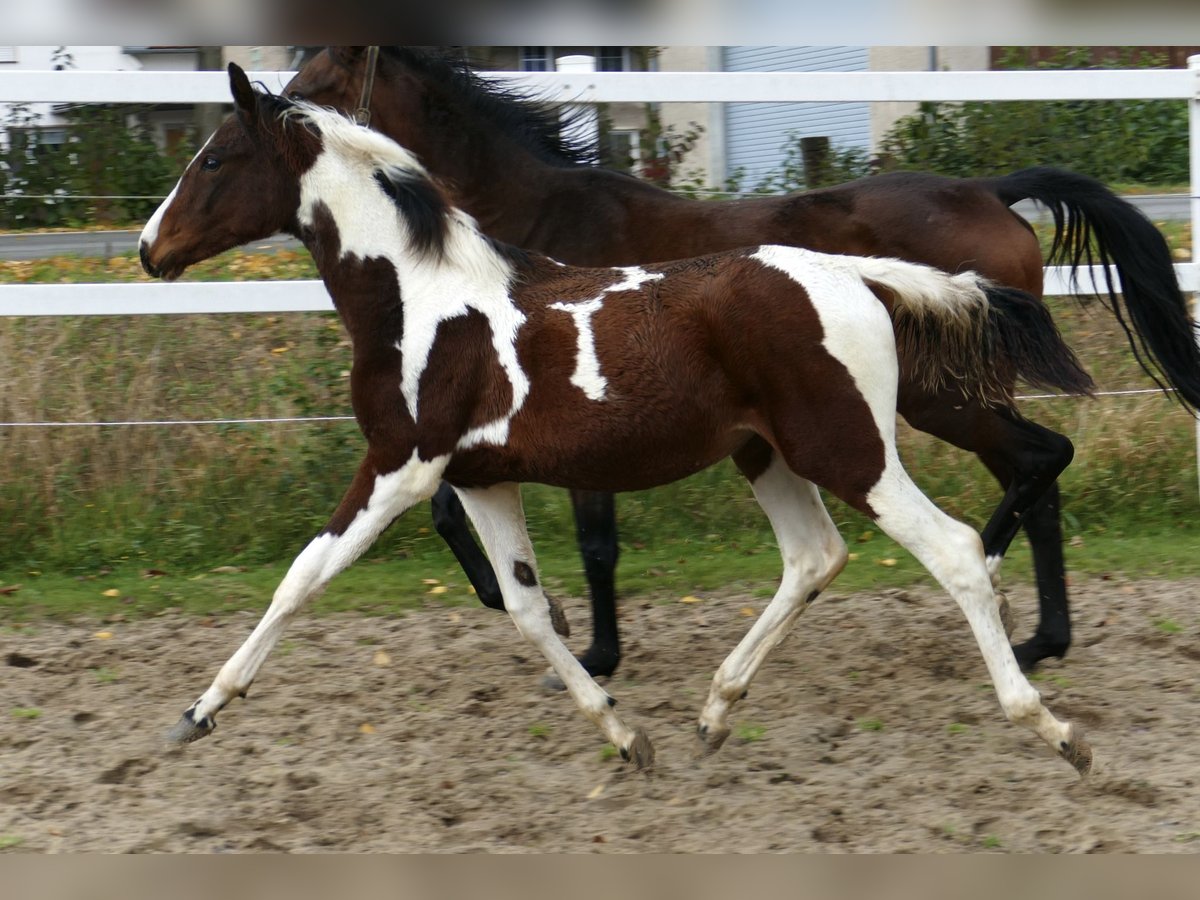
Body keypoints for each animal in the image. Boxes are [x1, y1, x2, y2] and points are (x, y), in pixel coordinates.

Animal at [136, 66, 1094, 777]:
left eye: (215, 159)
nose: (150, 249)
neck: (422, 301)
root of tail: (858, 275)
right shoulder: (479, 480)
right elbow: (526, 609)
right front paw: (627, 733)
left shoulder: (400, 463)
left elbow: (302, 577)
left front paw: (199, 710)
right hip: (769, 455)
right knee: (815, 557)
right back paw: (715, 710)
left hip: (851, 448)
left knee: (960, 548)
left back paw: (1052, 725)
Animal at [285, 42, 1200, 676]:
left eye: (315, 83)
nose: (277, 110)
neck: (527, 234)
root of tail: (992, 192)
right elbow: (456, 511)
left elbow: (589, 542)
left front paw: (591, 654)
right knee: (1039, 475)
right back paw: (1043, 637)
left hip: (943, 399)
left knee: (1041, 461)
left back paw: (1010, 608)